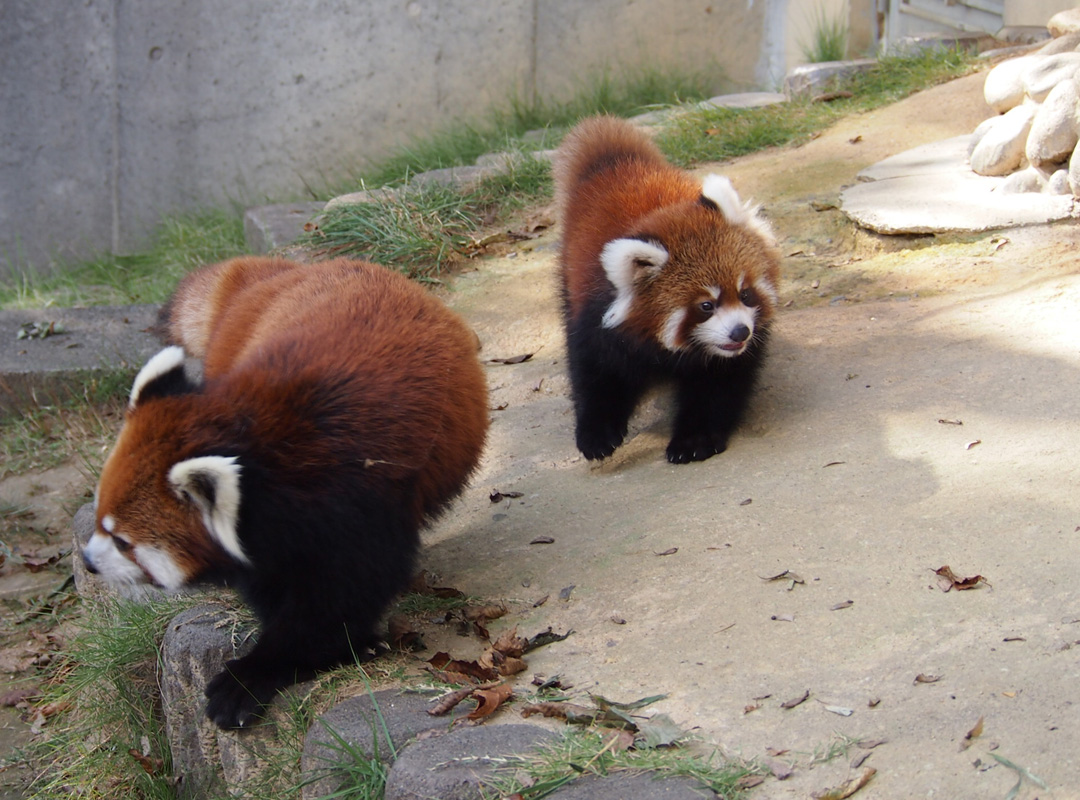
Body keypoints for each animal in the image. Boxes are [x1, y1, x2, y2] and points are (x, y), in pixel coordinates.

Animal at [82, 256, 488, 729]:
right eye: (99, 521)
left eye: (123, 541)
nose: (88, 562)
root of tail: (289, 268)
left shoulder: (365, 504)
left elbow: (338, 595)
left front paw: (260, 673)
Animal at [552, 113, 781, 462]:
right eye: (706, 306)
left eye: (745, 294)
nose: (740, 331)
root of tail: (614, 161)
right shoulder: (594, 316)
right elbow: (597, 373)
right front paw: (596, 435)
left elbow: (717, 384)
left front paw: (694, 440)